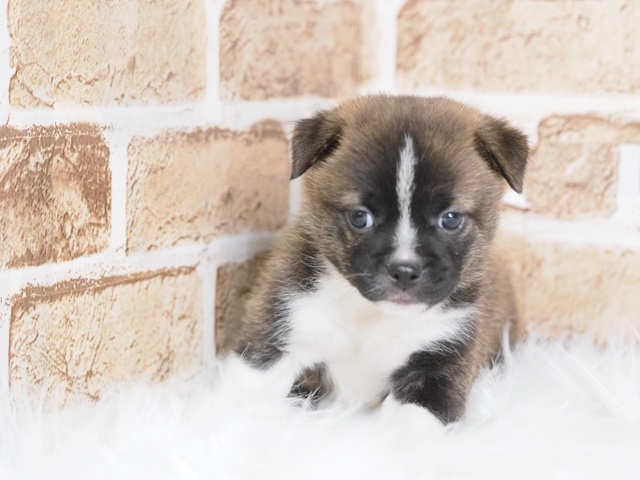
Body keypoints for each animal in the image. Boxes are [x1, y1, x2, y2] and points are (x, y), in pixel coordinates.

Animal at [228, 94, 528, 424]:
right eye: (360, 217)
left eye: (450, 219)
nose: (405, 271)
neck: (368, 315)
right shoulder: (277, 335)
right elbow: (243, 397)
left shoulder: (438, 370)